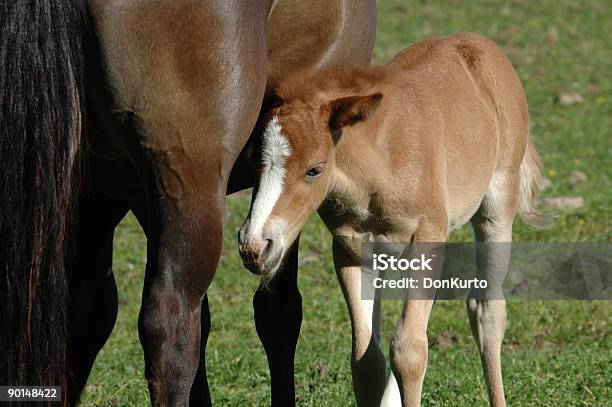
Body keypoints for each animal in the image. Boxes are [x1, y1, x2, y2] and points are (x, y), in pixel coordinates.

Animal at [238, 34, 540, 407]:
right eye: (252, 161)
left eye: (314, 170)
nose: (254, 245)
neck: (380, 163)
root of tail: (478, 43)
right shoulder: (352, 251)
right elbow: (367, 359)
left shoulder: (426, 238)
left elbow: (409, 352)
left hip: (496, 205)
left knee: (487, 311)